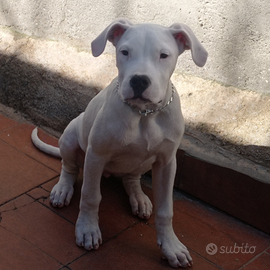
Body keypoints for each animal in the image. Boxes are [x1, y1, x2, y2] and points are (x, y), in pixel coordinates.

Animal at [32, 19, 209, 268]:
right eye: (124, 52)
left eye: (164, 55)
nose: (139, 80)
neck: (144, 114)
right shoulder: (96, 155)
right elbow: (90, 196)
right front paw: (87, 230)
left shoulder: (167, 163)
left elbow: (166, 210)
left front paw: (171, 246)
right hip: (70, 137)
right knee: (69, 167)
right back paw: (63, 189)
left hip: (142, 164)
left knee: (131, 178)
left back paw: (139, 198)